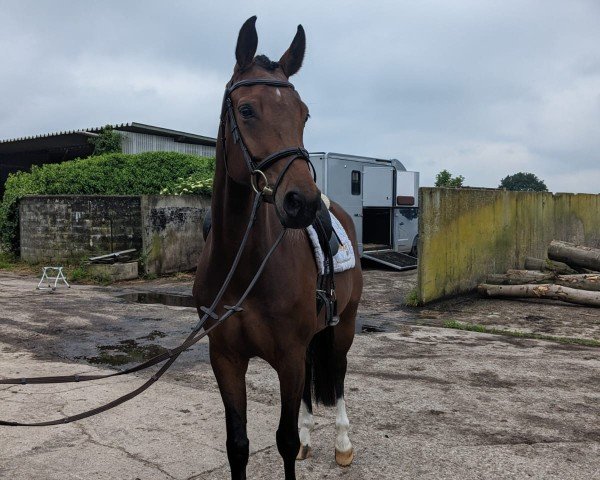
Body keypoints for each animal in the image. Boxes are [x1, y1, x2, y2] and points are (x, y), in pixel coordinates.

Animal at [193, 16, 360, 478]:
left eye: (304, 114)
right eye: (247, 110)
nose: (302, 202)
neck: (243, 266)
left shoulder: (287, 354)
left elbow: (283, 441)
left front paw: (304, 441)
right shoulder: (225, 358)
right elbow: (237, 445)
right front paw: (299, 439)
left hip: (344, 326)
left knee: (338, 374)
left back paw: (342, 444)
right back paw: (310, 439)